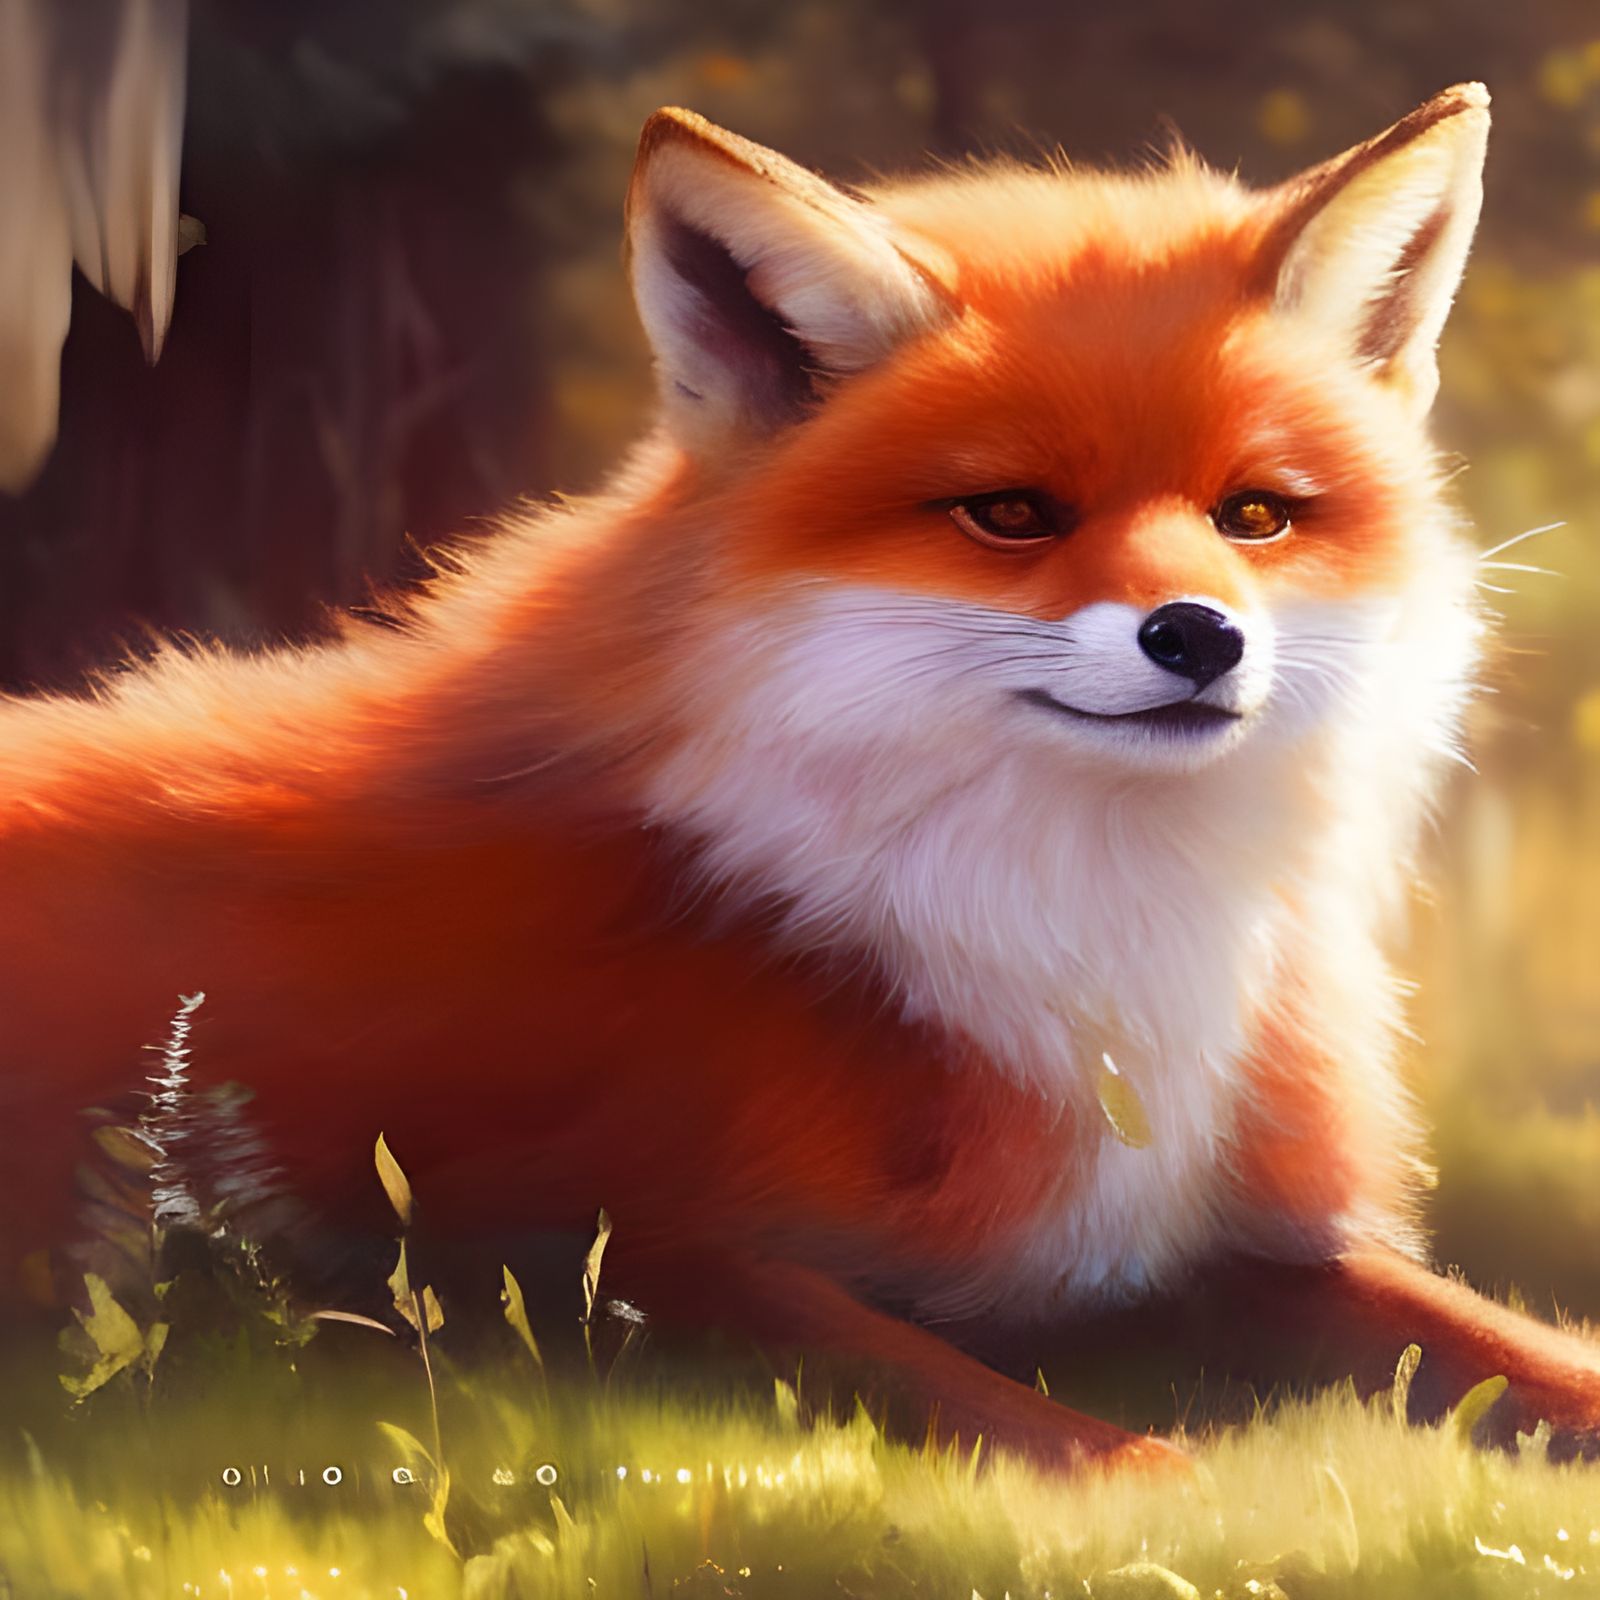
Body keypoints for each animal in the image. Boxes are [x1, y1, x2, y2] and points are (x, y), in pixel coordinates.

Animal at [4, 81, 1599, 1473]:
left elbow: (1503, 1351)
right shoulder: (597, 1250)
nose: (1200, 635)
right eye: (1012, 513)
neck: (1078, 958)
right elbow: (1063, 1441)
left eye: (1255, 515)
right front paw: (1174, 1482)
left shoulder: (1222, 1247)